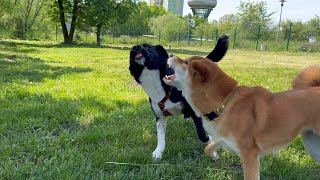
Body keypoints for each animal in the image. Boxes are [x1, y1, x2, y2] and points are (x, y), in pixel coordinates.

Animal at [164, 55, 320, 179]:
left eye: (185, 62)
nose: (171, 55)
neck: (225, 103)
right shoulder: (222, 138)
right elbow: (207, 148)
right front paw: (214, 156)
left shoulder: (250, 155)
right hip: (313, 147)